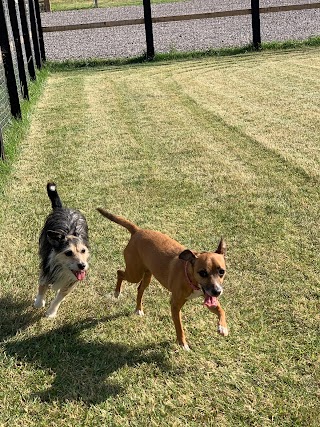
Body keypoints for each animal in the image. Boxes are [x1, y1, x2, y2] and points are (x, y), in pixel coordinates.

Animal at [34, 182, 89, 320]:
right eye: (68, 253)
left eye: (83, 251)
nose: (82, 266)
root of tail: (62, 208)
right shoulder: (46, 270)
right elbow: (42, 287)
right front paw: (39, 302)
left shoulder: (71, 282)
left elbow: (59, 297)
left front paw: (51, 312)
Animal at [97, 208, 228, 352]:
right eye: (203, 273)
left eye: (221, 271)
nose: (217, 291)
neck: (189, 276)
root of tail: (137, 231)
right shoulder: (175, 305)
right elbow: (179, 328)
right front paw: (183, 344)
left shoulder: (208, 297)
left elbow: (221, 310)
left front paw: (223, 327)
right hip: (134, 273)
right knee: (119, 273)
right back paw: (117, 292)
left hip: (147, 275)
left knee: (140, 289)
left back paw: (138, 309)